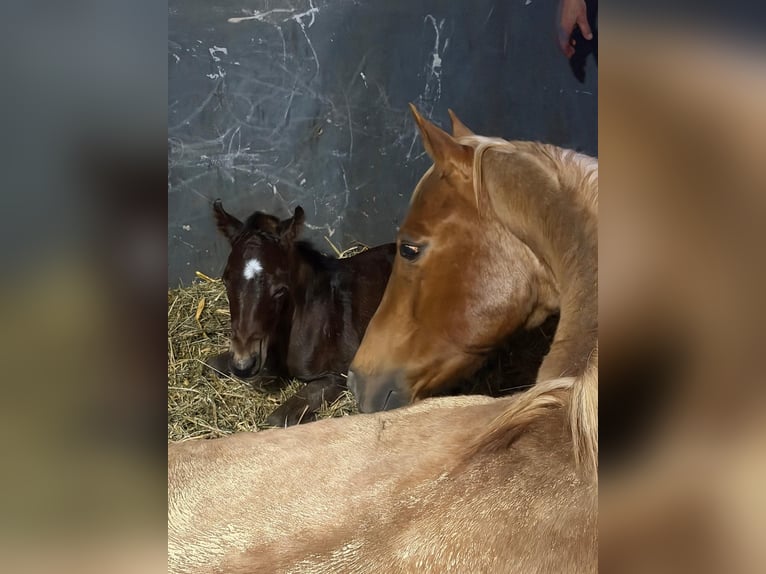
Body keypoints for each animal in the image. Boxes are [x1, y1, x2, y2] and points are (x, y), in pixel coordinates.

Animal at [210, 200, 396, 426]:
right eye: (225, 280)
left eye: (280, 290)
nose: (243, 365)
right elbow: (211, 364)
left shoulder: (338, 375)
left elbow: (277, 419)